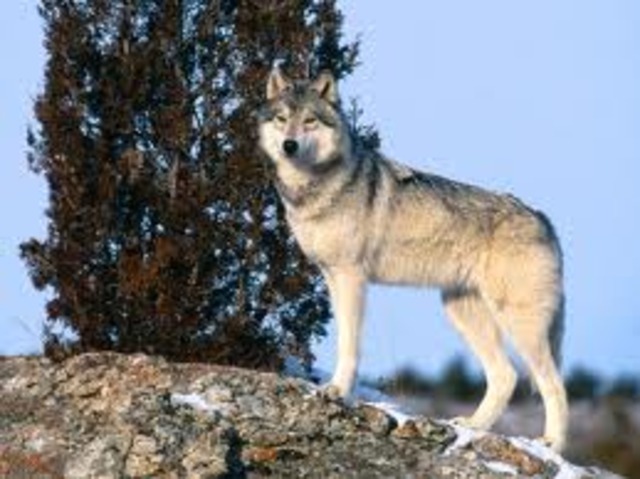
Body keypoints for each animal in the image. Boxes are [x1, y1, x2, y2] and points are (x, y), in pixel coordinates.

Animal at [258, 68, 568, 451]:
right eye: (282, 119)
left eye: (310, 121)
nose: (289, 146)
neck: (316, 188)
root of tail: (542, 218)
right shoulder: (331, 276)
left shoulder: (351, 277)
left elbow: (349, 344)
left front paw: (338, 391)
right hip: (461, 311)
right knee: (506, 376)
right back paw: (473, 427)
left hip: (518, 323)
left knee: (554, 383)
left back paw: (551, 444)